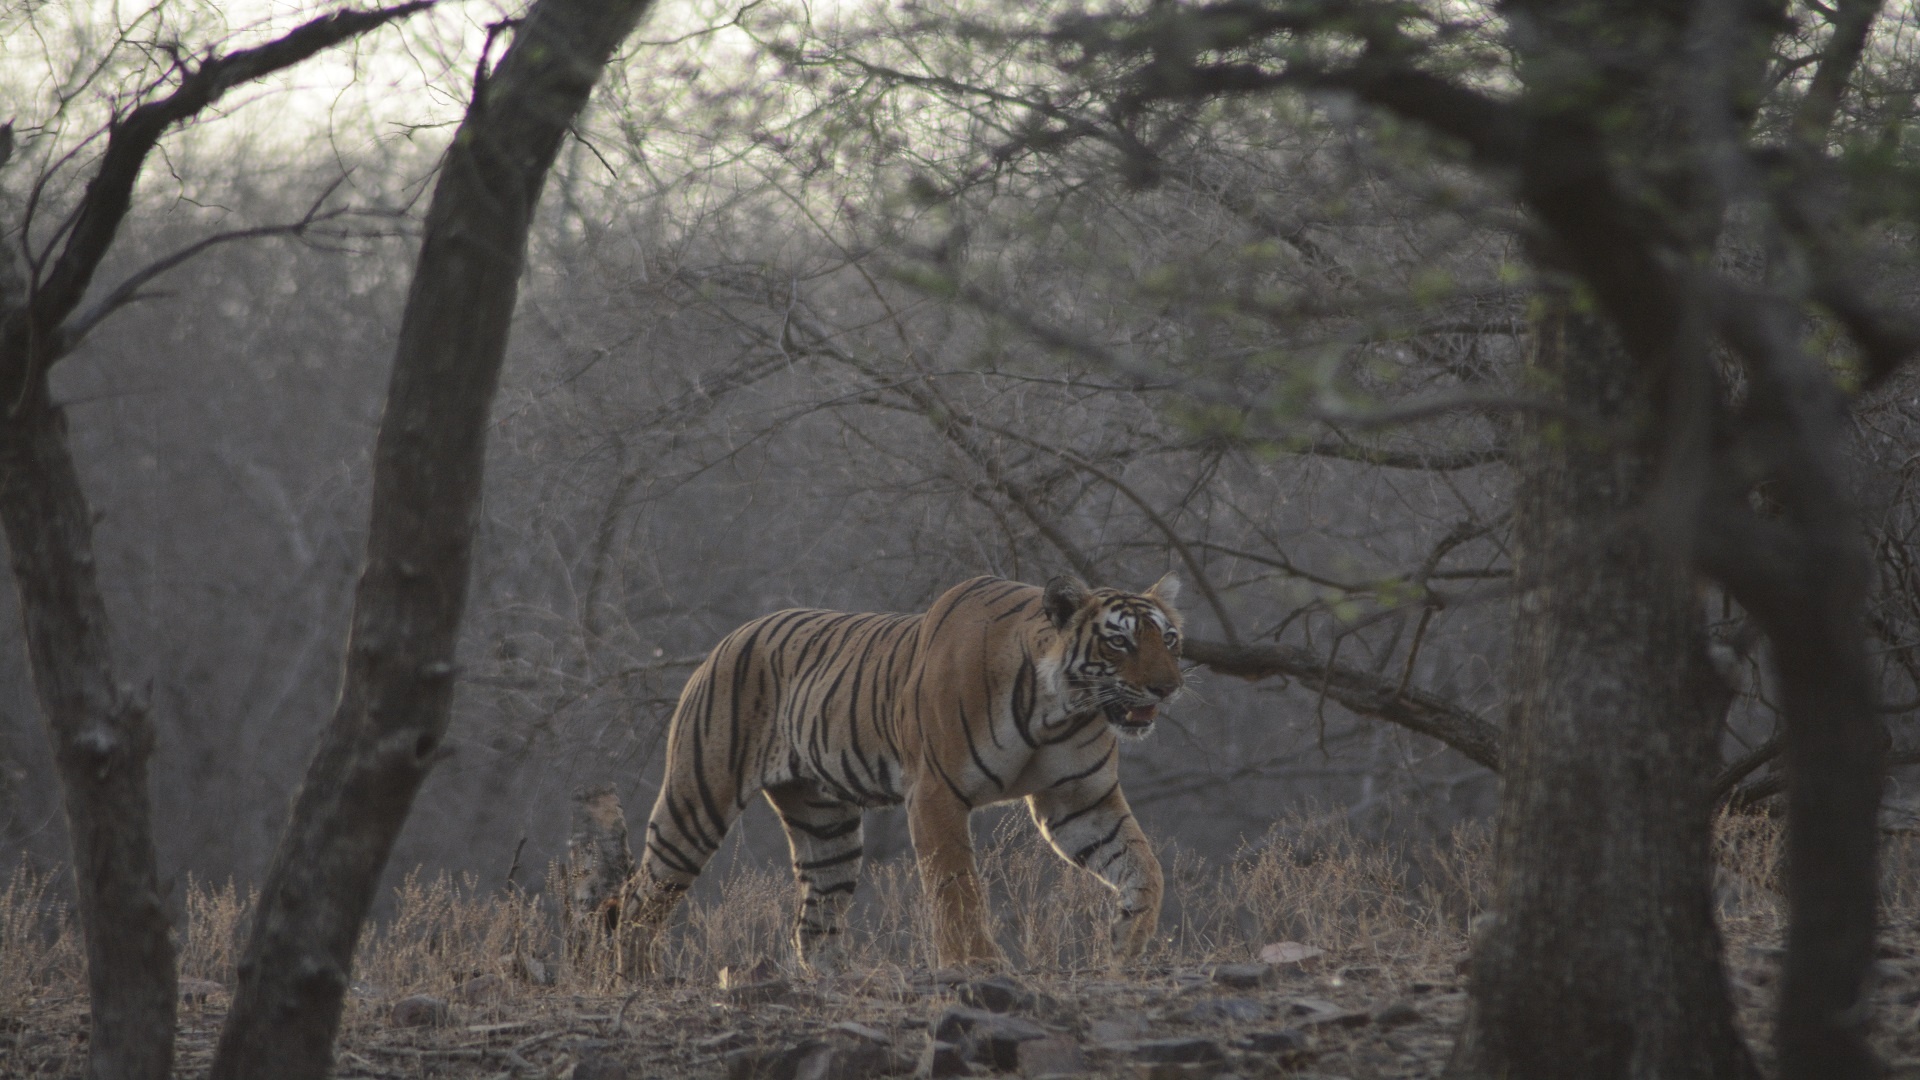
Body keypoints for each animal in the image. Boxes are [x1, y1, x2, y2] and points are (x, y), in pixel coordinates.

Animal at [622, 576, 1182, 972]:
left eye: (1171, 639)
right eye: (1119, 643)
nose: (1169, 688)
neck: (1058, 711)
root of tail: (731, 635)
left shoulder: (1080, 801)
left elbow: (1144, 867)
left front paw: (1127, 945)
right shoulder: (936, 793)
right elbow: (956, 886)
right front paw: (976, 964)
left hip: (827, 826)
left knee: (814, 923)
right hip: (697, 801)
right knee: (633, 899)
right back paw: (633, 979)